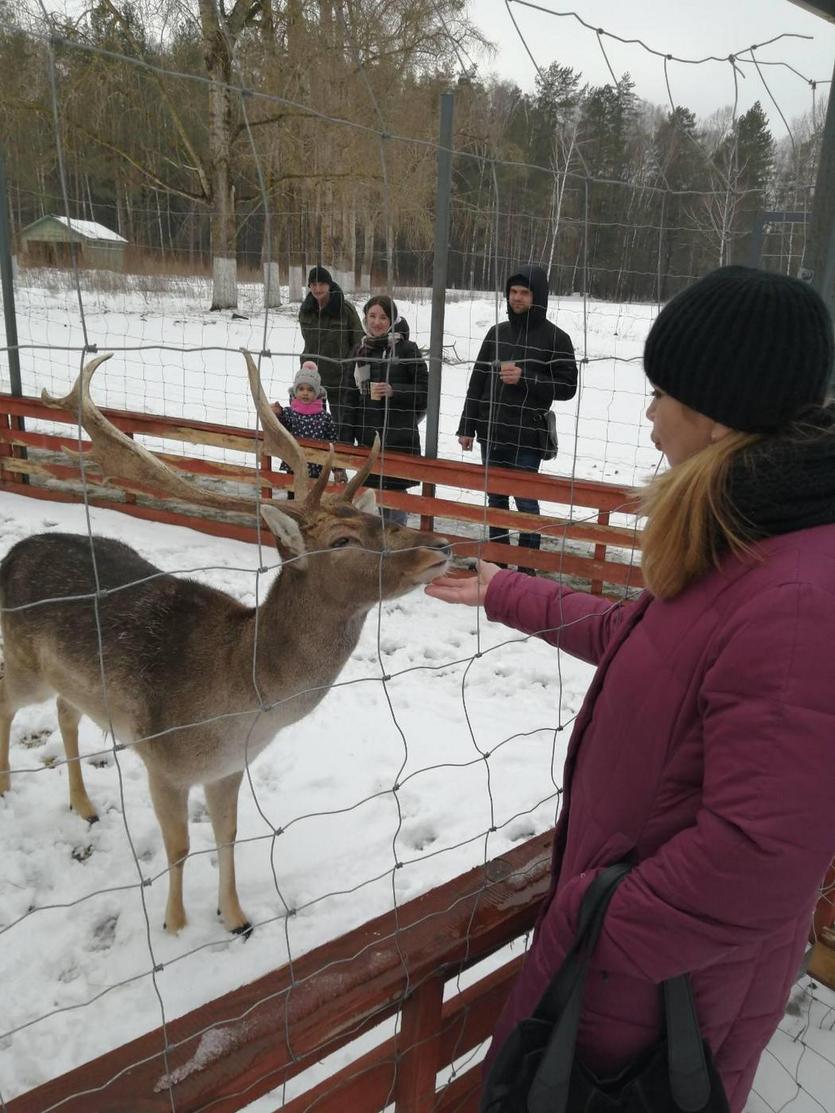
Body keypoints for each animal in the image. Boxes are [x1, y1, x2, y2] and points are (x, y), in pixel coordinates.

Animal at [0, 351, 452, 934]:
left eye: (375, 516)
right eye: (342, 540)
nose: (440, 546)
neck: (237, 707)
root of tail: (10, 556)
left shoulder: (229, 769)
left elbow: (228, 835)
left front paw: (235, 916)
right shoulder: (163, 762)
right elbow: (179, 847)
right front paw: (175, 924)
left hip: (67, 680)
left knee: (66, 712)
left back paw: (84, 805)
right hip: (22, 659)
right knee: (8, 699)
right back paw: (6, 789)